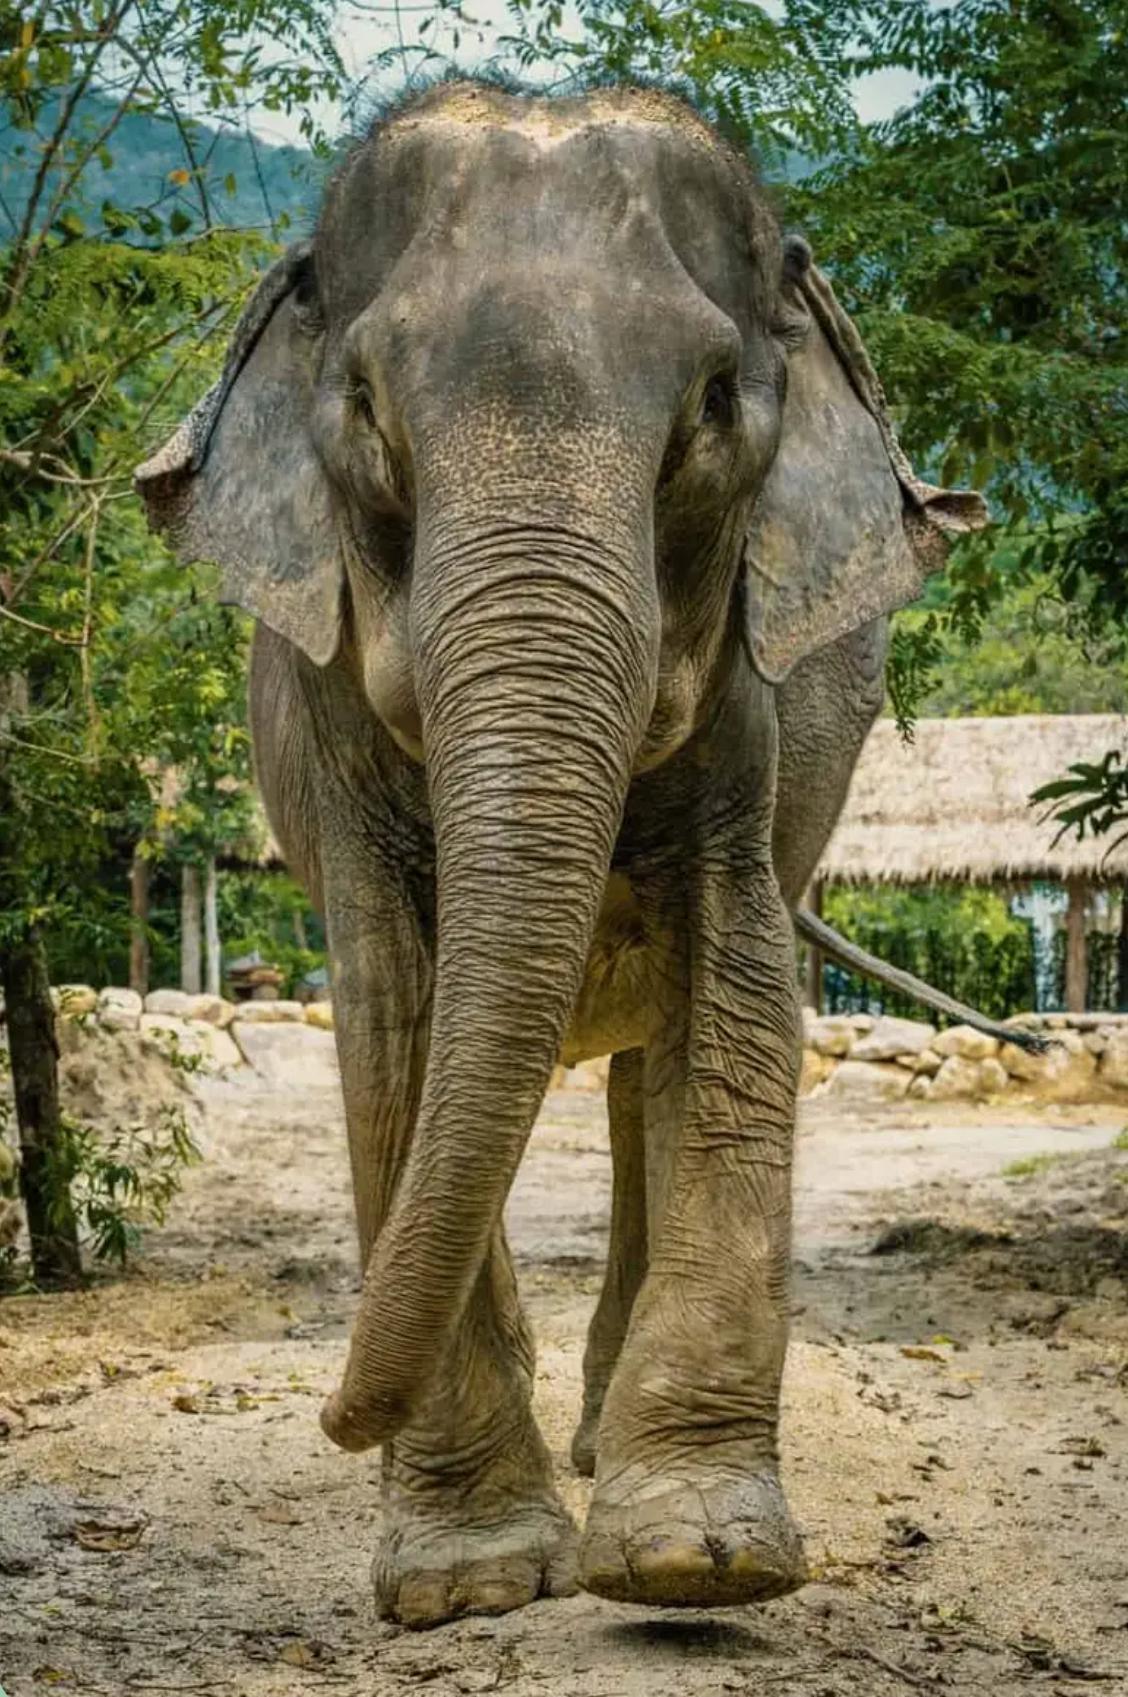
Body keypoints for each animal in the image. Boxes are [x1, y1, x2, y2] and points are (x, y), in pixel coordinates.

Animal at [136, 80, 986, 1628]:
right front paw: (467, 1582)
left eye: (713, 406)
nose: (335, 1411)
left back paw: (598, 1445)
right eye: (364, 407)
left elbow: (737, 991)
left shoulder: (751, 717)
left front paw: (696, 1563)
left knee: (650, 1069)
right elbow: (394, 1023)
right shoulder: (329, 729)